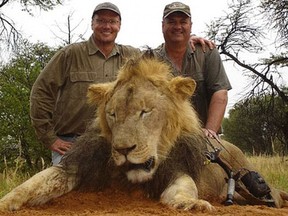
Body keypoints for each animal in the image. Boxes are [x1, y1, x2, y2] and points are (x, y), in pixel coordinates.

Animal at [0, 56, 288, 212]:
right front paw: (6, 201)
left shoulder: (176, 168)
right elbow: (32, 184)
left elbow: (184, 188)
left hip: (251, 179)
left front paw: (191, 204)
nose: (123, 150)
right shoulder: (78, 166)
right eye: (113, 114)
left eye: (145, 112)